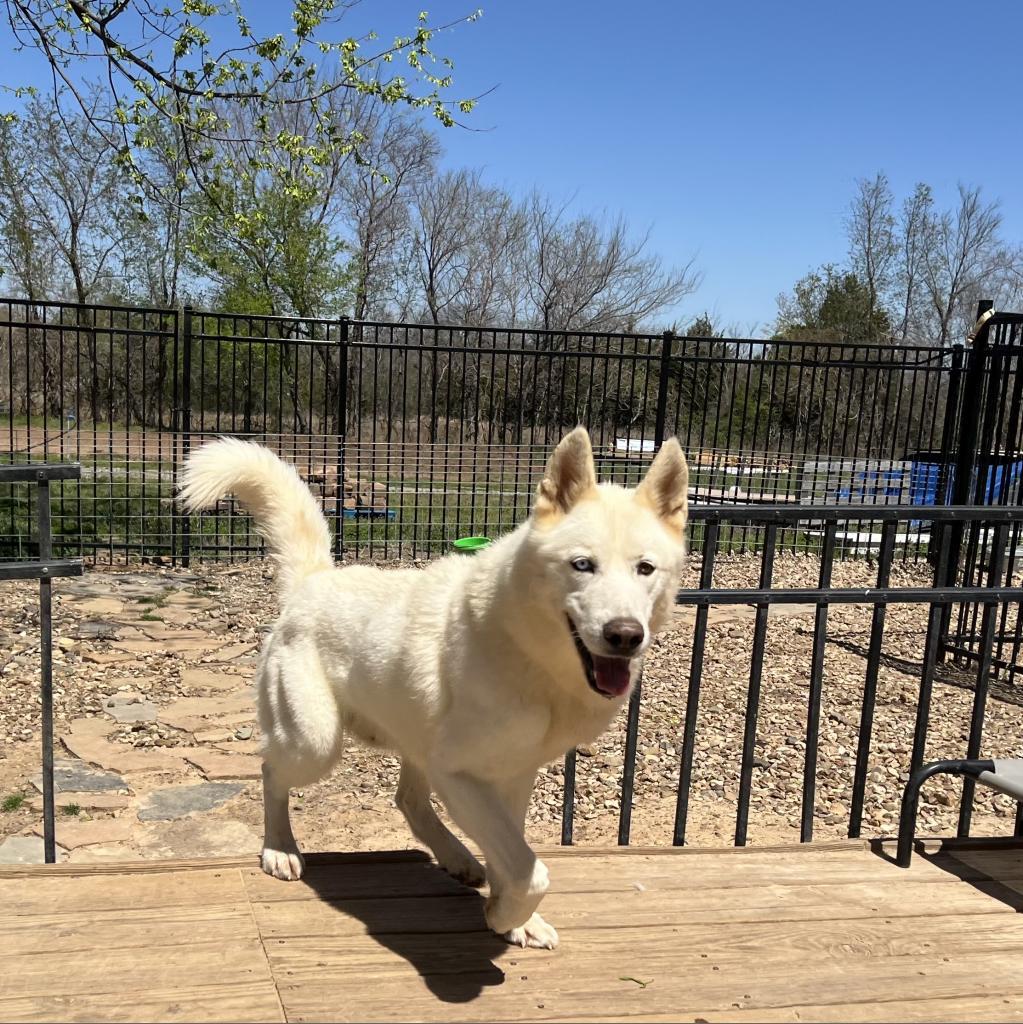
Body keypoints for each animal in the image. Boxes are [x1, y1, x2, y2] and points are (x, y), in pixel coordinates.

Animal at [178, 428, 688, 946]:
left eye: (645, 569)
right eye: (582, 565)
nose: (625, 635)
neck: (529, 654)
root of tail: (313, 581)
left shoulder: (513, 775)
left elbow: (515, 855)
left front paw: (516, 919)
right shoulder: (458, 772)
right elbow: (529, 871)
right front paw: (505, 916)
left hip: (410, 739)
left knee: (408, 801)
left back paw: (458, 857)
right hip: (314, 743)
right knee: (270, 772)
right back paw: (279, 847)